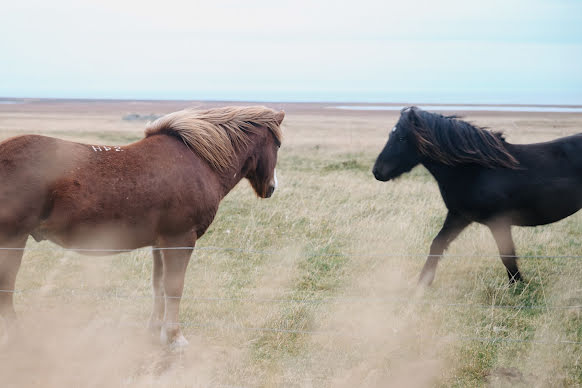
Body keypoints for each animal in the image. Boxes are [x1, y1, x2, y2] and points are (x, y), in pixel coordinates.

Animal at [0, 105, 286, 346]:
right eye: (278, 144)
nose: (271, 187)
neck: (198, 161)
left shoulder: (160, 243)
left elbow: (158, 285)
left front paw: (156, 330)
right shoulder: (180, 240)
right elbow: (174, 286)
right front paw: (175, 336)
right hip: (12, 240)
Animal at [374, 106, 582, 284]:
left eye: (402, 138)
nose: (377, 171)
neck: (475, 171)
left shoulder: (498, 222)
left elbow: (507, 255)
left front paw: (518, 286)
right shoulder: (459, 216)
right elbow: (437, 245)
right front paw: (422, 284)